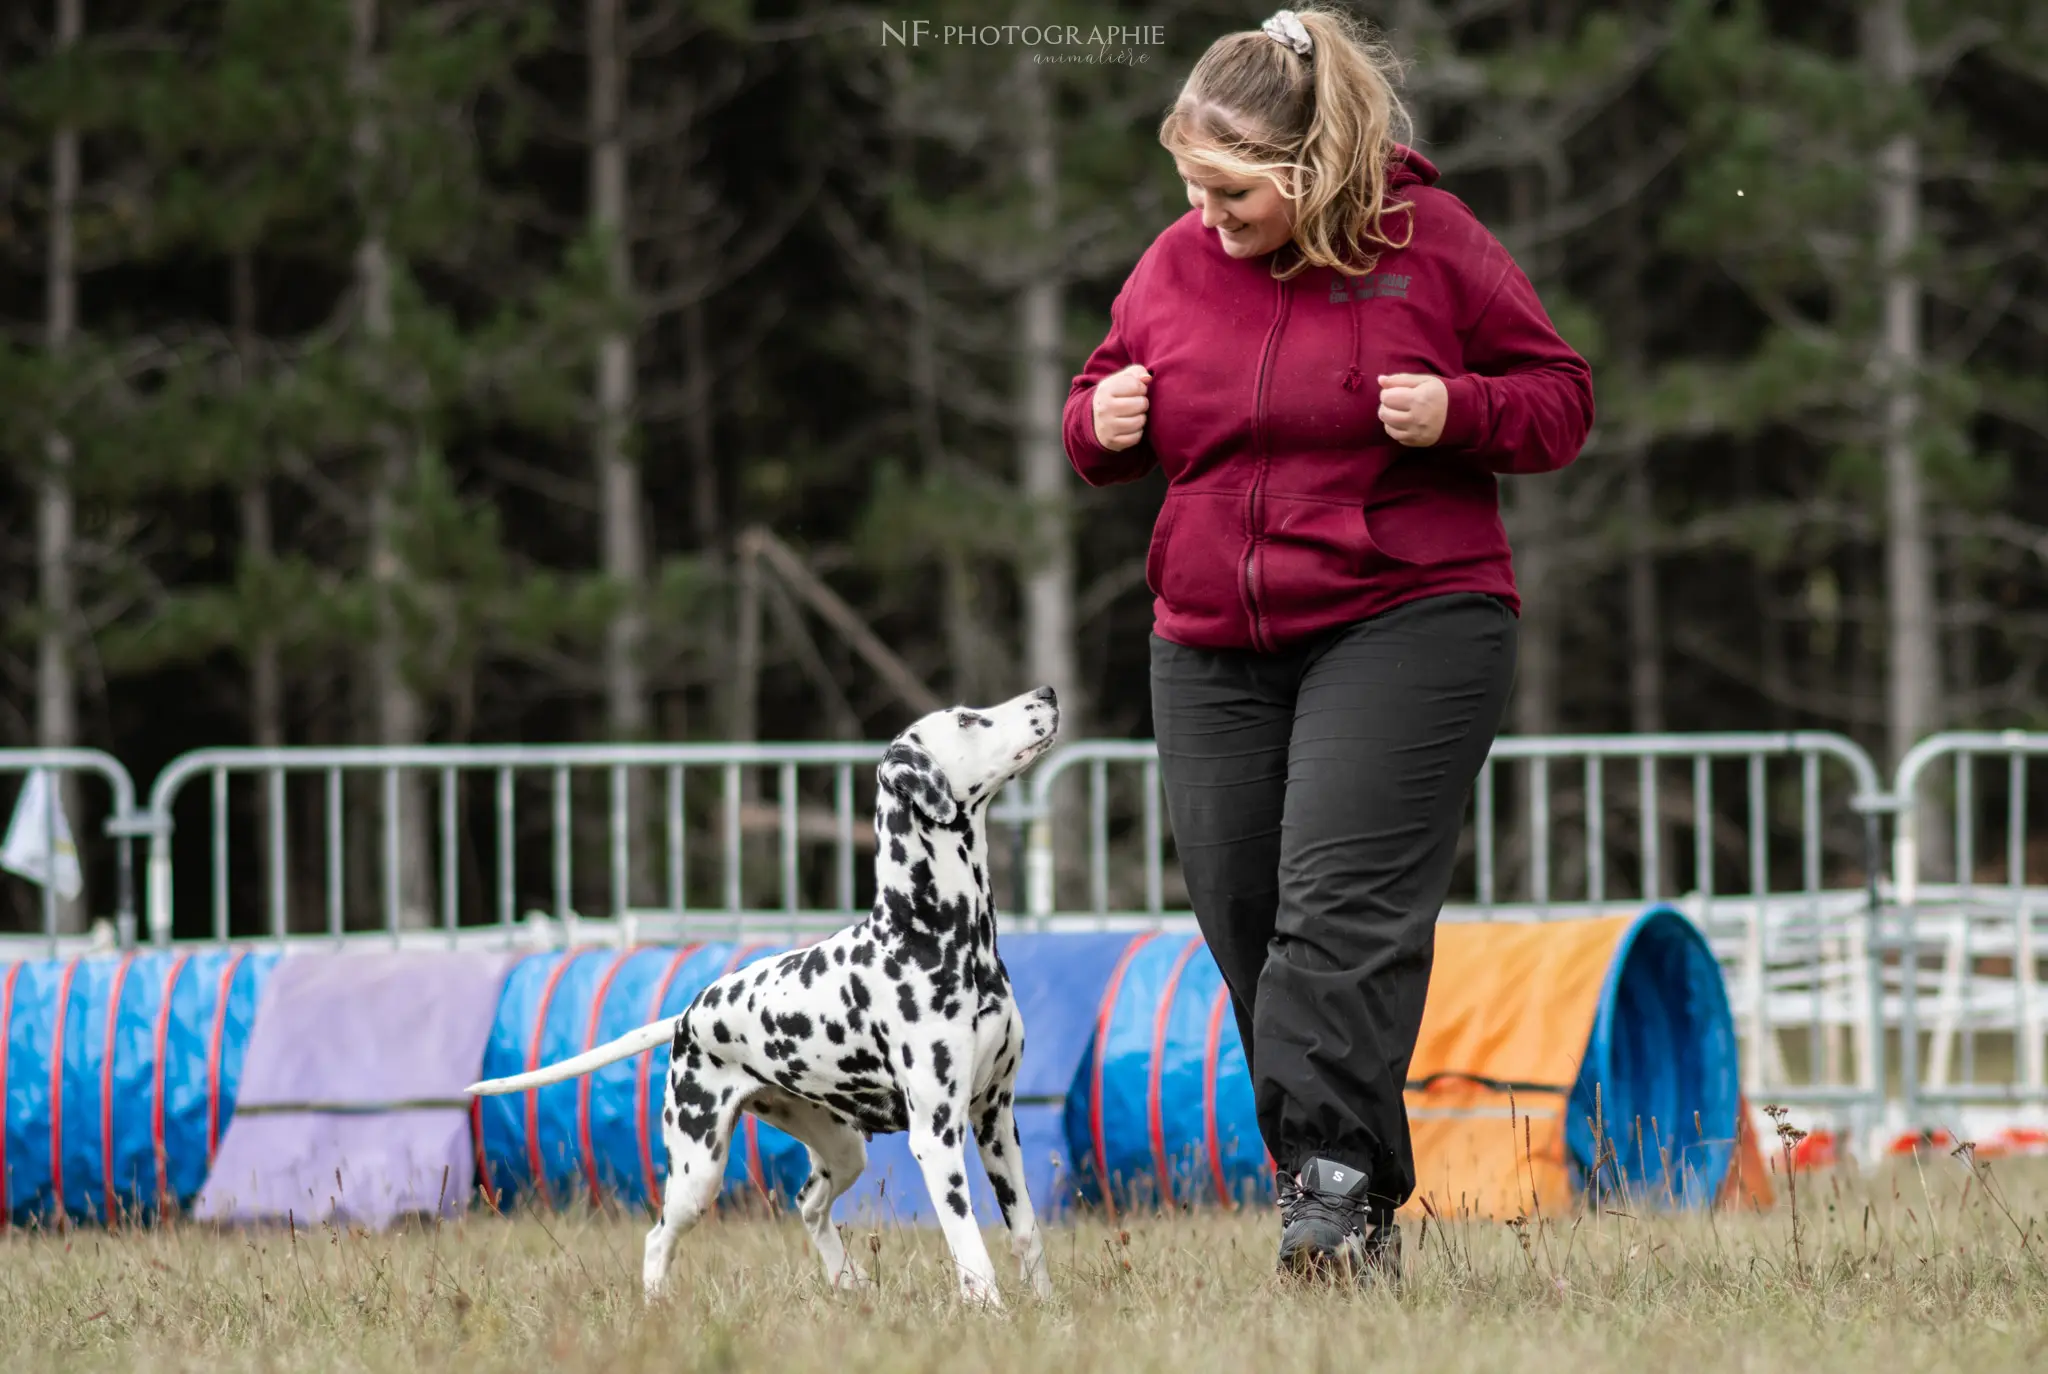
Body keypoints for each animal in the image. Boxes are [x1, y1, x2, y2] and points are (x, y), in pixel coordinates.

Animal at [466, 688, 1064, 1310]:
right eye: (970, 720)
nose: (1045, 695)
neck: (938, 935)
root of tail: (687, 1015)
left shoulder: (997, 1117)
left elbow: (1026, 1232)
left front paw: (1044, 1307)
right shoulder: (938, 1136)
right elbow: (970, 1247)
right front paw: (991, 1312)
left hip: (843, 1151)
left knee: (809, 1205)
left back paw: (849, 1282)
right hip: (698, 1171)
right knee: (659, 1235)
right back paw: (657, 1304)